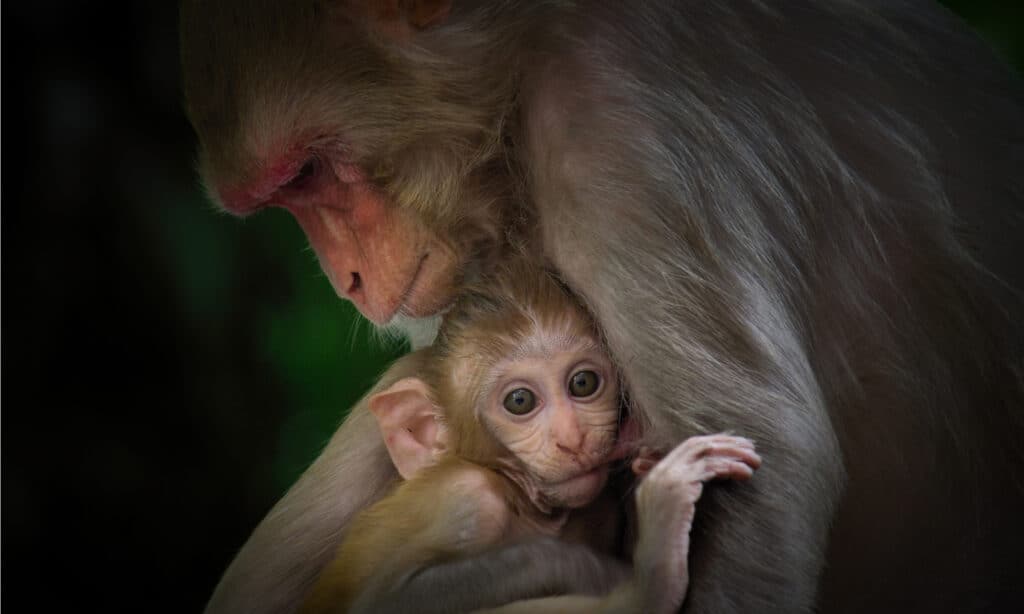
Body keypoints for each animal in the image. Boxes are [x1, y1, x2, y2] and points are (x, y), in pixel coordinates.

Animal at [299, 262, 761, 614]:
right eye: (520, 401)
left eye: (583, 383)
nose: (572, 439)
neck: (522, 501)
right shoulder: (464, 497)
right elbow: (384, 602)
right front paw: (628, 576)